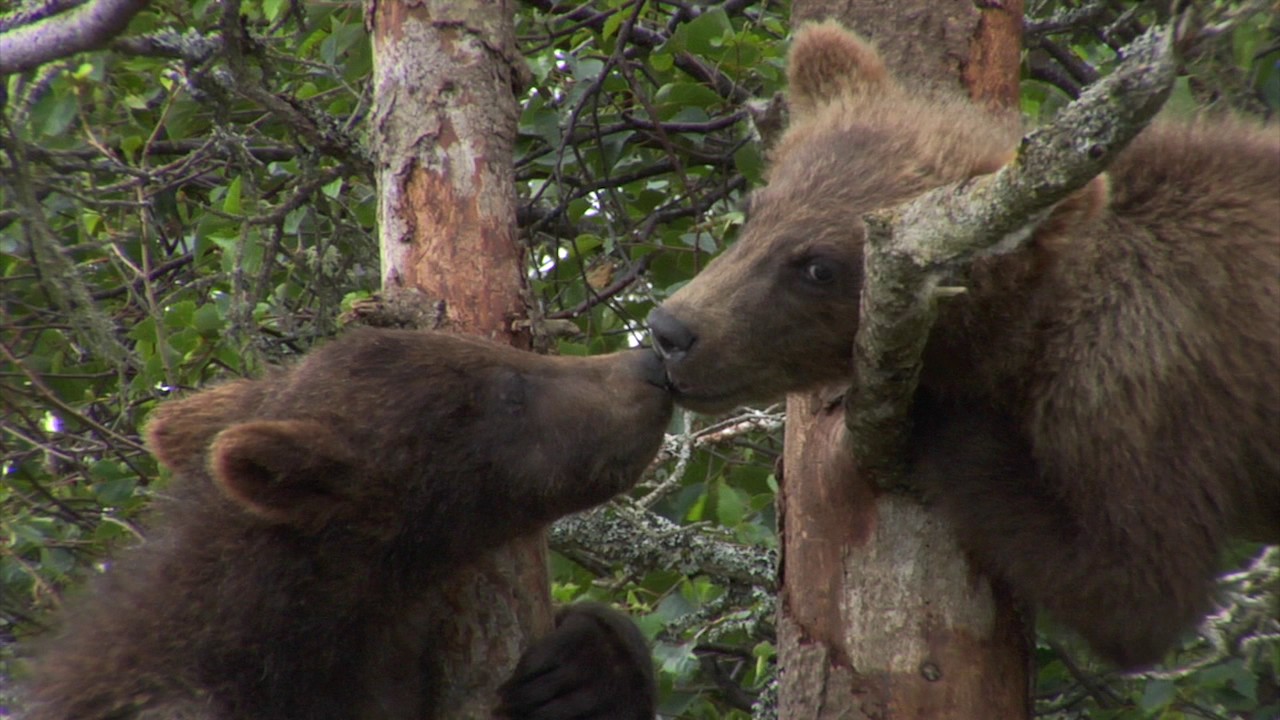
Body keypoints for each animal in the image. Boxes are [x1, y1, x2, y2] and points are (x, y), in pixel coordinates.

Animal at [647, 21, 1280, 669]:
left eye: (819, 267)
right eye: (756, 211)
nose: (670, 330)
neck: (1038, 327)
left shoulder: (1141, 380)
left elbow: (1137, 588)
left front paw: (945, 418)